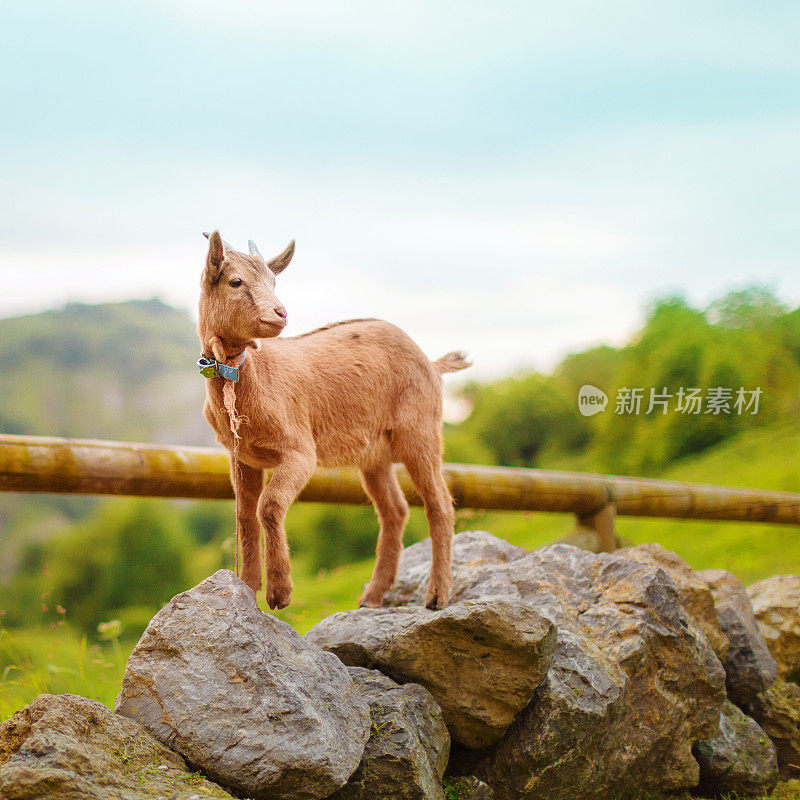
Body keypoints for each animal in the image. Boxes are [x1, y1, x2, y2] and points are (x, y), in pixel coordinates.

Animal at [197, 231, 468, 612]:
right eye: (236, 281)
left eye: (274, 281)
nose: (280, 313)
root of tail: (432, 363)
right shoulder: (243, 457)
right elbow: (244, 515)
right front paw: (247, 587)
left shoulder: (299, 450)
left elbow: (270, 505)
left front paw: (279, 593)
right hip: (375, 455)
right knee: (395, 510)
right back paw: (372, 596)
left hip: (421, 432)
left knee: (440, 504)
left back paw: (436, 596)